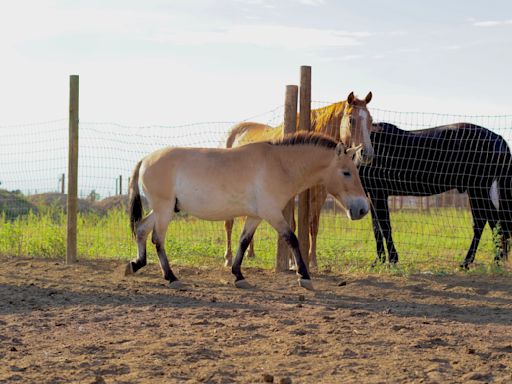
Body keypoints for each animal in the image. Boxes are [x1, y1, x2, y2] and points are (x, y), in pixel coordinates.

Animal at [126, 130, 370, 290]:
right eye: (346, 172)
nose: (363, 209)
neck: (280, 165)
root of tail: (145, 159)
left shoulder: (255, 216)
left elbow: (244, 242)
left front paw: (238, 275)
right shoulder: (272, 213)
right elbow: (292, 238)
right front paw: (304, 276)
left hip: (163, 210)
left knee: (141, 229)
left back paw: (136, 264)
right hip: (164, 210)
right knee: (157, 239)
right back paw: (171, 277)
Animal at [222, 91, 374, 266]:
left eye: (371, 121)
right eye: (351, 119)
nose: (367, 154)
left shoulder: (319, 193)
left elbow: (313, 225)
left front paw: (312, 260)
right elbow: (292, 225)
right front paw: (291, 260)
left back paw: (250, 252)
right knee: (229, 223)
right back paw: (228, 257)